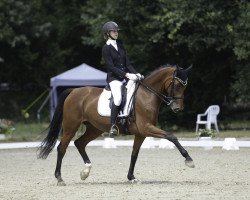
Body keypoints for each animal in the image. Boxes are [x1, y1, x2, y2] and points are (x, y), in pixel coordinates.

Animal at [38, 65, 195, 186]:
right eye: (177, 85)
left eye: (186, 86)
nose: (178, 108)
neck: (147, 95)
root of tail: (74, 91)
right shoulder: (146, 128)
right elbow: (171, 136)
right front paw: (189, 160)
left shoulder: (141, 133)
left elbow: (134, 154)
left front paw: (131, 178)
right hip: (71, 126)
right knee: (62, 148)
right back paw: (60, 178)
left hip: (94, 129)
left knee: (79, 143)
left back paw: (85, 172)